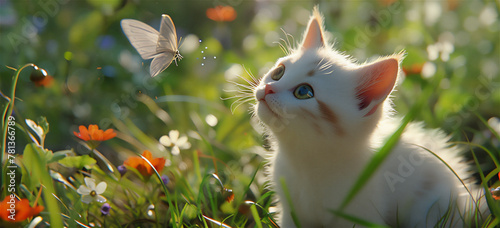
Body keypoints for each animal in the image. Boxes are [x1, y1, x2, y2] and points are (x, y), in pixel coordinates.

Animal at [252, 7, 486, 228]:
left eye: (303, 92)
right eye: (279, 72)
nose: (268, 89)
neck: (305, 162)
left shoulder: (359, 215)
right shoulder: (290, 212)